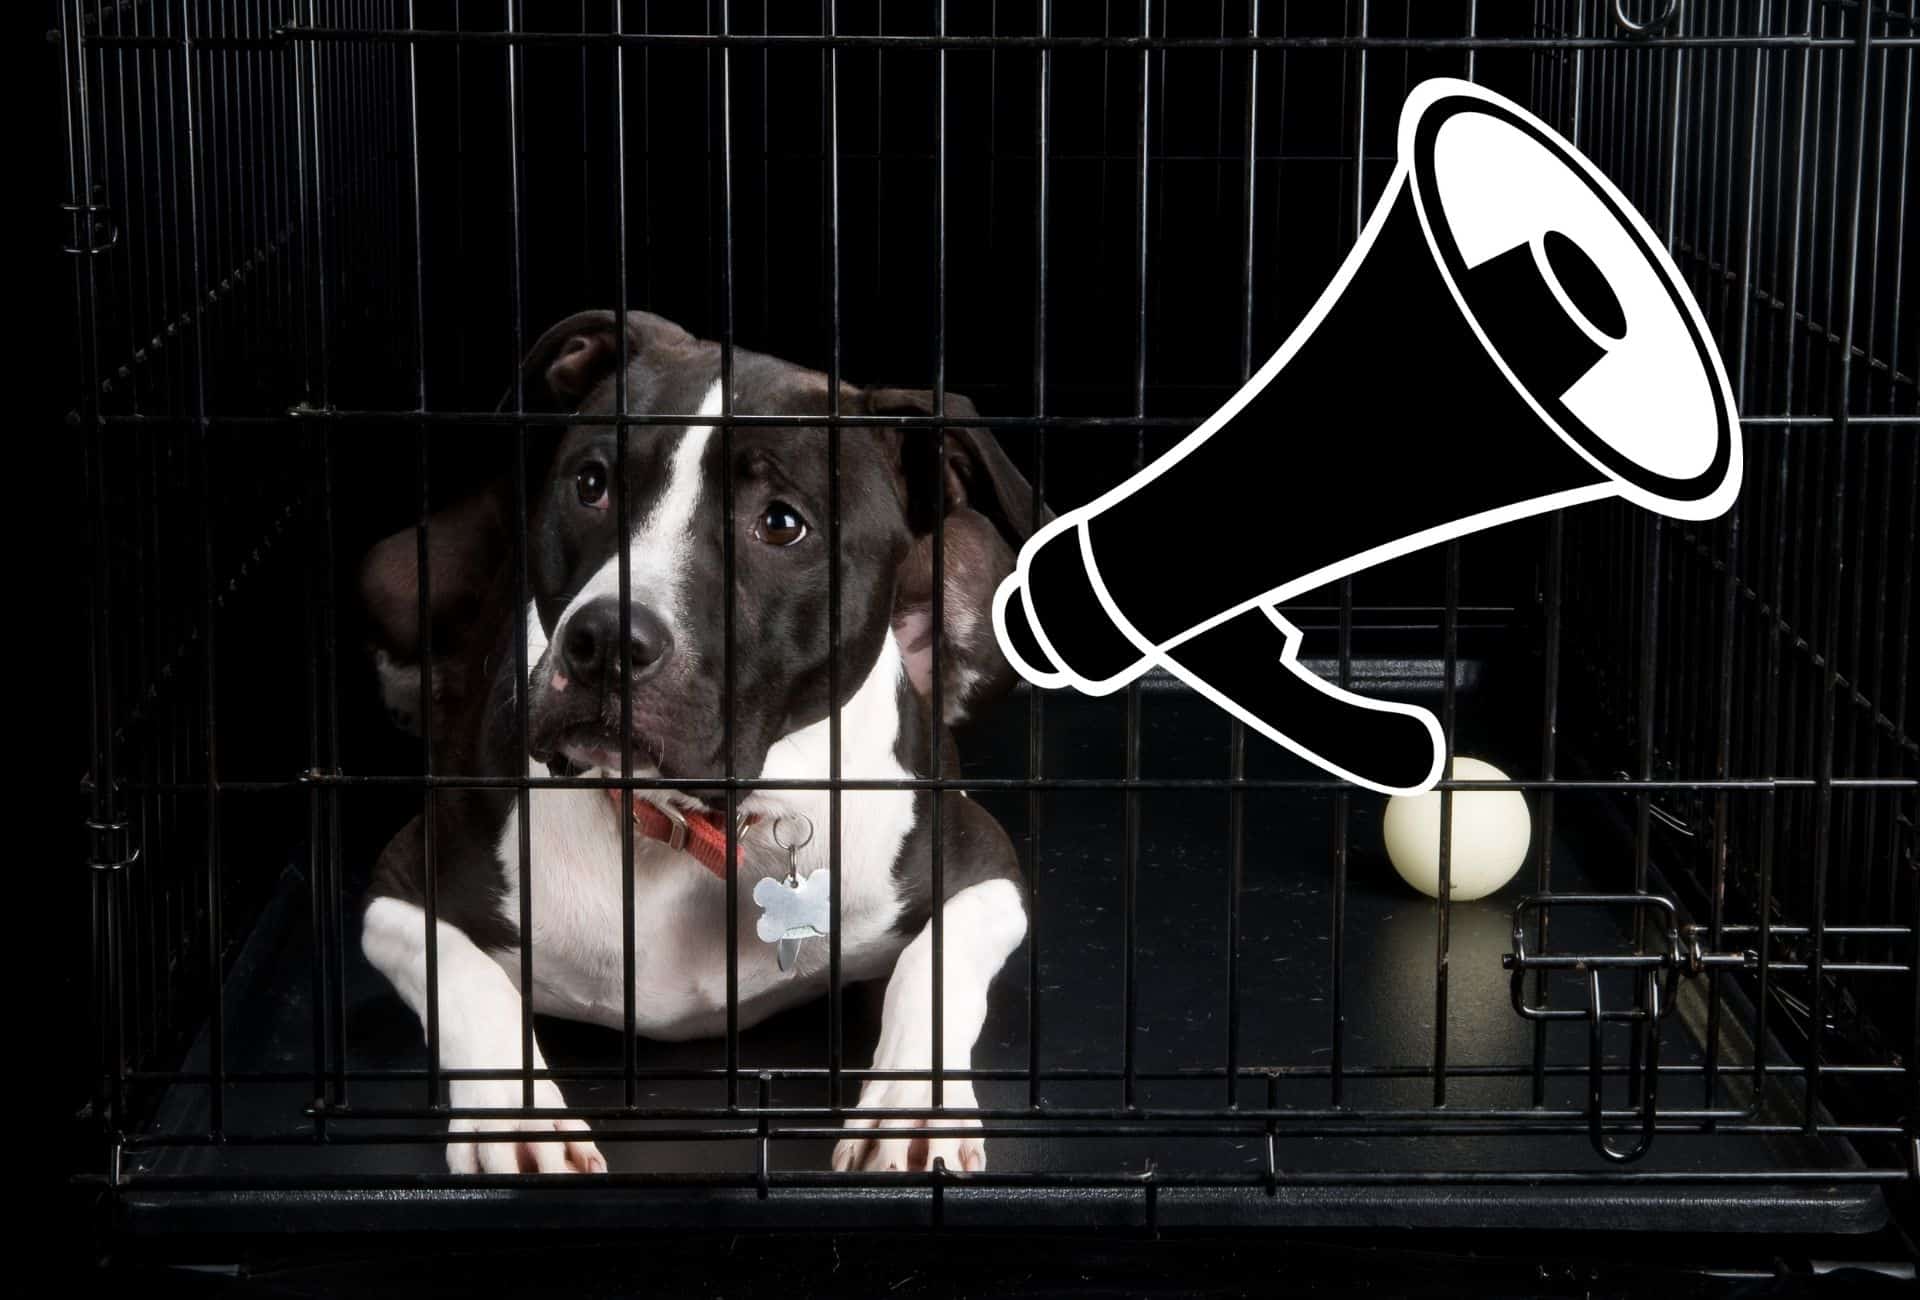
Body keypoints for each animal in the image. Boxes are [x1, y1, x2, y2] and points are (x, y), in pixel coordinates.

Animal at [360, 309, 1052, 1167]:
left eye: (782, 524)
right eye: (592, 484)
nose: (604, 641)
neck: (697, 823)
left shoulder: (985, 869)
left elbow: (934, 963)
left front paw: (911, 1110)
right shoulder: (399, 890)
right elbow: (465, 979)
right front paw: (516, 1119)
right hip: (393, 571)